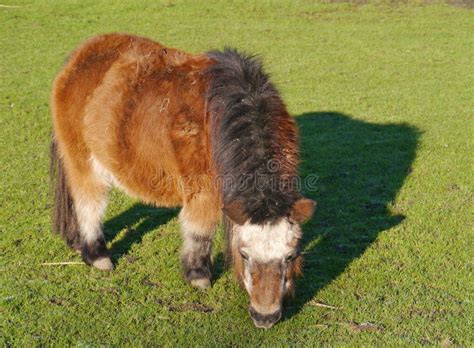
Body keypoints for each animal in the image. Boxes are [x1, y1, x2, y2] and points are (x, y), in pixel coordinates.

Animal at [51, 33, 314, 328]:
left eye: (290, 256)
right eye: (245, 255)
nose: (265, 317)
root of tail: (79, 55)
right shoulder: (203, 190)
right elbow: (200, 230)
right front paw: (198, 275)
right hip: (82, 161)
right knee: (89, 204)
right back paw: (97, 256)